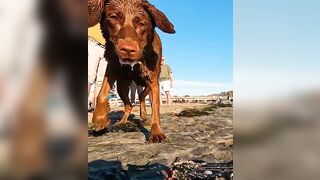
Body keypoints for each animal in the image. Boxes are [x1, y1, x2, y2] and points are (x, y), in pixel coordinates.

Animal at [88, 0, 175, 143]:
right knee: (129, 105)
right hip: (122, 87)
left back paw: (143, 115)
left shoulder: (153, 80)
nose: (128, 50)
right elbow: (101, 94)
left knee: (141, 97)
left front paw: (156, 132)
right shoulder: (112, 66)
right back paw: (122, 122)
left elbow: (155, 107)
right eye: (113, 17)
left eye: (142, 23)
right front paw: (99, 120)